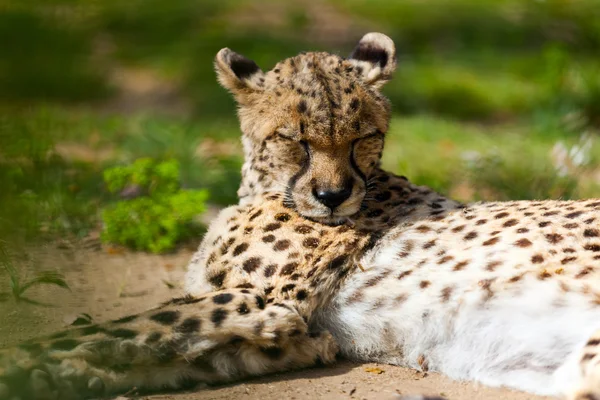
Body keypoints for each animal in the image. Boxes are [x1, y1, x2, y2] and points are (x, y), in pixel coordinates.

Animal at [2, 33, 600, 400]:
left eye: (363, 137)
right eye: (296, 139)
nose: (333, 195)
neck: (264, 190)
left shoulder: (267, 297)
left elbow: (118, 326)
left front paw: (29, 362)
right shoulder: (275, 324)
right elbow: (170, 347)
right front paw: (61, 375)